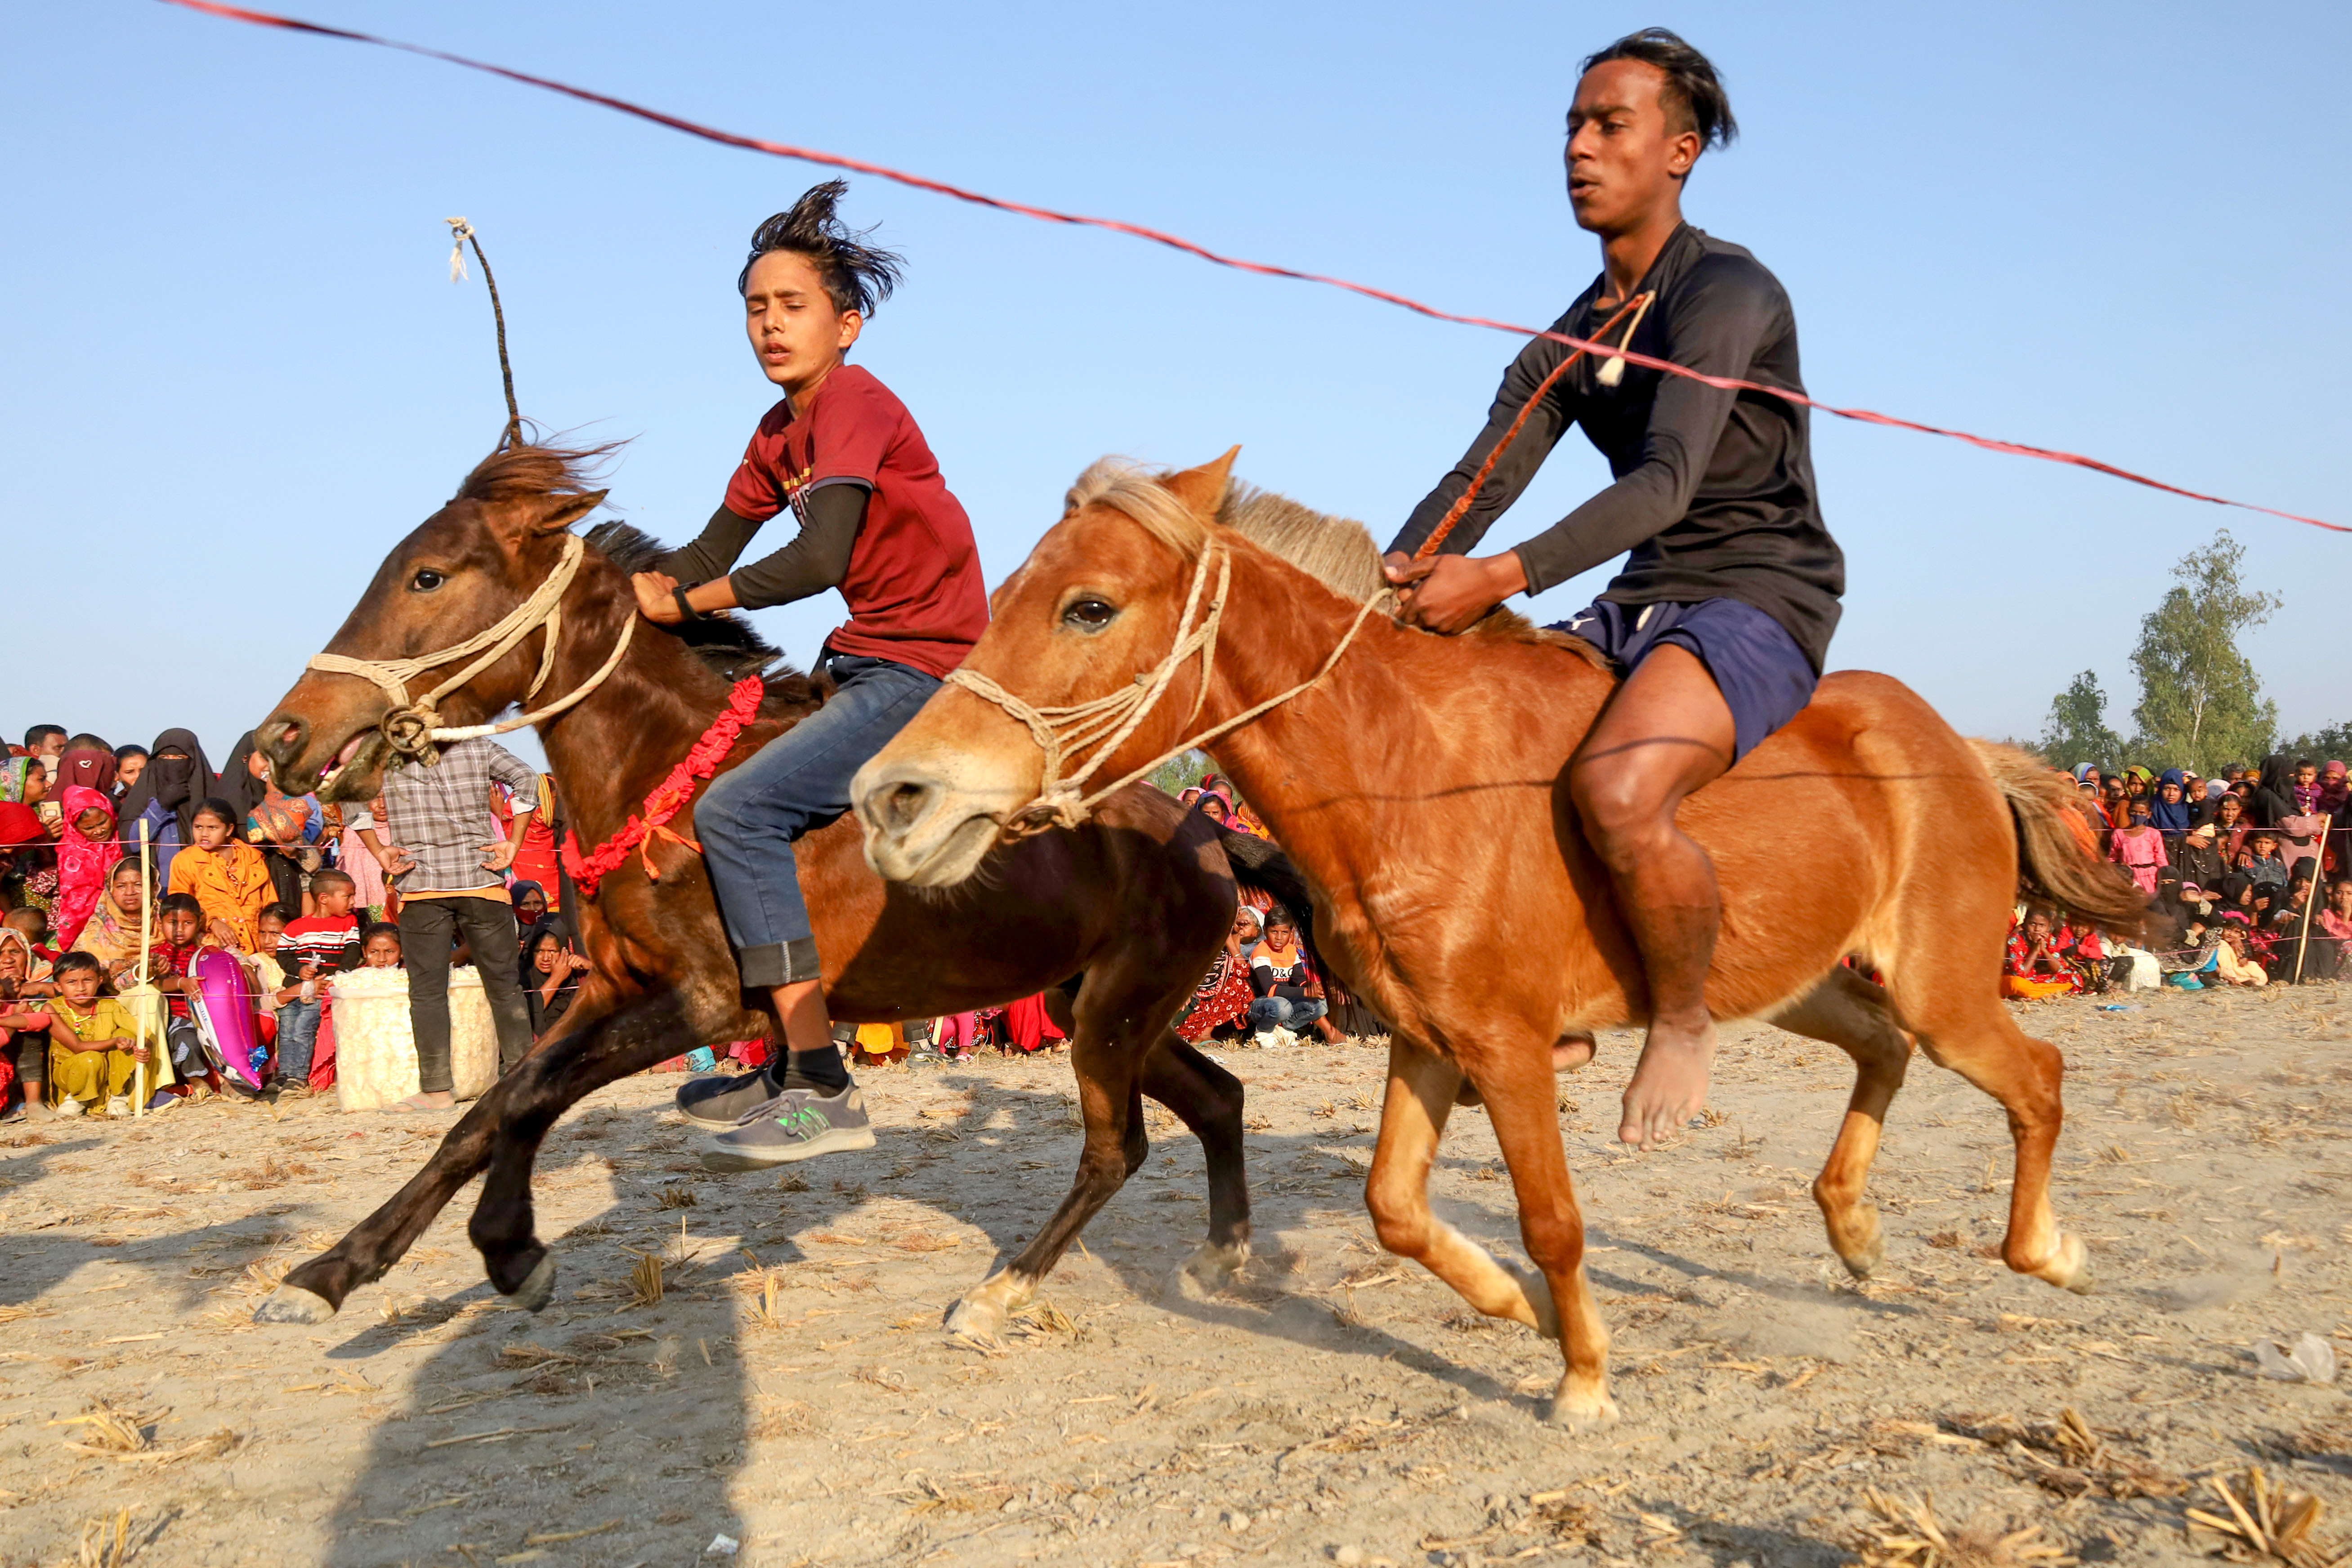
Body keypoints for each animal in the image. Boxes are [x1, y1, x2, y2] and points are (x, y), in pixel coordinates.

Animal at [248, 441, 1319, 1336]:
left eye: (428, 575)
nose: (281, 737)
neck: (667, 765)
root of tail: (1207, 829)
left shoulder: (708, 1000)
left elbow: (528, 1099)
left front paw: (509, 1251)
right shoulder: (608, 987)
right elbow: (490, 1107)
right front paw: (340, 1270)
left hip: (1113, 1015)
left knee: (1114, 1148)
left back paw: (1000, 1291)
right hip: (1095, 1003)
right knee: (1217, 1098)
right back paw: (1222, 1253)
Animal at [849, 449, 2152, 1426]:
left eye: (1089, 606)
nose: (893, 797)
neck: (1404, 773)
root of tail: (1961, 748)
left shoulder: (1508, 1049)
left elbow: (1552, 1220)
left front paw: (1580, 1376)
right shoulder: (1426, 1042)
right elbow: (1393, 1205)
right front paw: (1518, 1309)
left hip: (1942, 981)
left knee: (2033, 1075)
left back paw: (2046, 1252)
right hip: (1794, 980)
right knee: (1881, 1047)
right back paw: (1857, 1232)